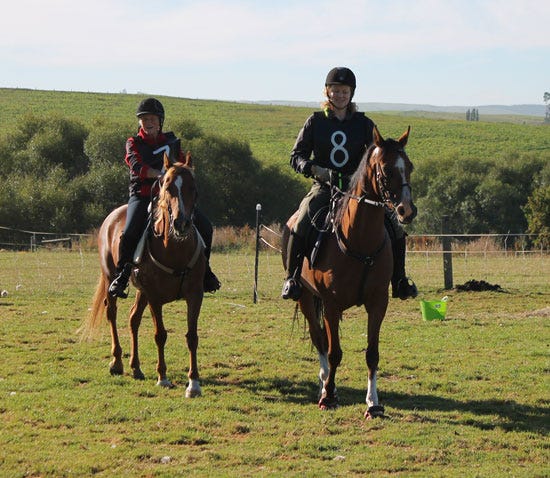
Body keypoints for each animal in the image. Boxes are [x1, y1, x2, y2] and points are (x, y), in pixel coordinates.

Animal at [83, 152, 208, 396]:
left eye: (193, 187)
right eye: (167, 186)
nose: (181, 223)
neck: (174, 250)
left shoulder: (195, 295)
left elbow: (192, 336)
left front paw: (193, 384)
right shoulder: (155, 298)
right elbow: (160, 335)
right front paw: (163, 377)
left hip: (142, 292)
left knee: (133, 319)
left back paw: (136, 367)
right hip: (111, 278)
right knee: (112, 313)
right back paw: (117, 363)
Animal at [284, 125, 418, 416]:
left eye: (409, 167)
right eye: (386, 169)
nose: (407, 211)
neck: (360, 241)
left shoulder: (378, 303)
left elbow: (372, 353)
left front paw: (373, 403)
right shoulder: (331, 305)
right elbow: (334, 352)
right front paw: (328, 396)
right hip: (306, 297)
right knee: (319, 340)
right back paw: (325, 383)